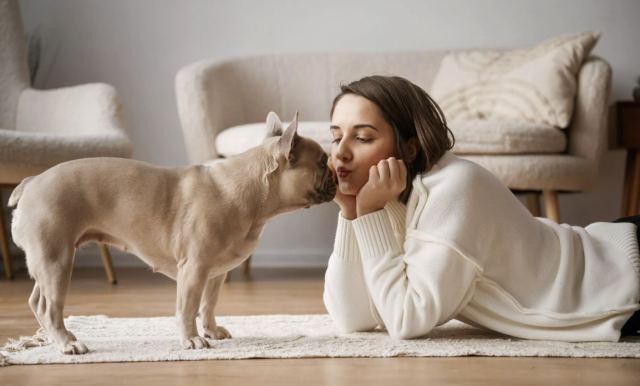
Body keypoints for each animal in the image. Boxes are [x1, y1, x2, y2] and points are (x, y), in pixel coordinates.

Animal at [8, 111, 336, 352]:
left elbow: (208, 304)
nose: (336, 171)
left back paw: (53, 338)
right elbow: (188, 307)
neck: (251, 187)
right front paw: (191, 339)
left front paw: (212, 330)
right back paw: (66, 344)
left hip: (50, 260)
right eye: (322, 162)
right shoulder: (194, 268)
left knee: (36, 300)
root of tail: (31, 181)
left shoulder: (215, 273)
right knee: (50, 306)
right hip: (57, 260)